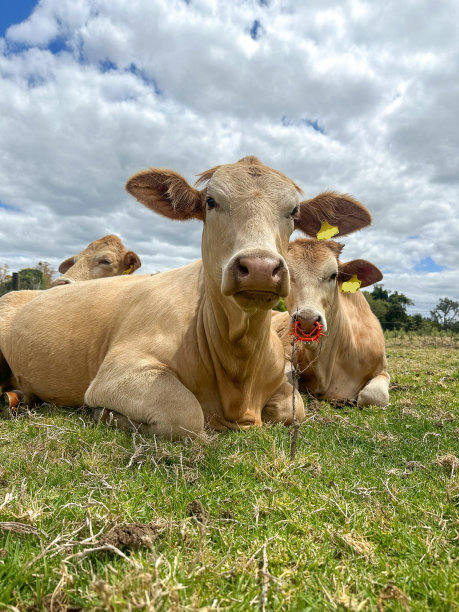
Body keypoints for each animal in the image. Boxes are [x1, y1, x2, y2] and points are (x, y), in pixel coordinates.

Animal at [0, 155, 374, 438]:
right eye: (211, 201)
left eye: (294, 211)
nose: (259, 267)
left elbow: (293, 409)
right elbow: (187, 415)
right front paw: (107, 415)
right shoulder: (117, 373)